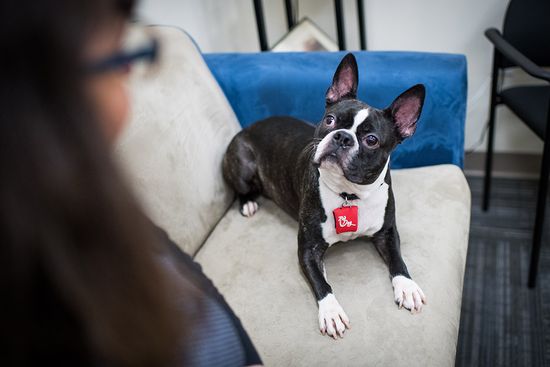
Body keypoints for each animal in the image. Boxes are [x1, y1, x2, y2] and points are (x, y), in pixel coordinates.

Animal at [222, 53, 430, 340]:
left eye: (372, 140)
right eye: (330, 120)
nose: (342, 137)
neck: (348, 194)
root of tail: (247, 128)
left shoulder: (387, 233)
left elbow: (398, 259)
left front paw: (407, 286)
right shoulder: (308, 250)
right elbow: (322, 283)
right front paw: (331, 312)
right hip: (242, 163)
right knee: (242, 188)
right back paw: (249, 203)